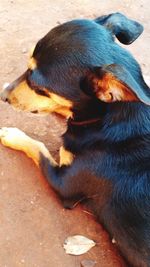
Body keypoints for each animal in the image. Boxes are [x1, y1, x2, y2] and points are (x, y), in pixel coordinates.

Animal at [0, 13, 150, 267]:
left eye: (38, 87)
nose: (4, 96)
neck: (104, 119)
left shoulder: (64, 183)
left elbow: (38, 146)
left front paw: (11, 134)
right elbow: (63, 113)